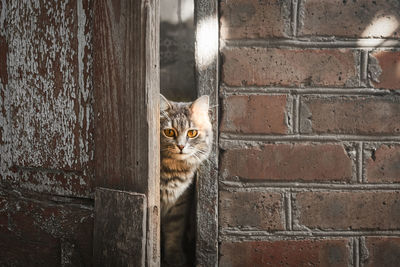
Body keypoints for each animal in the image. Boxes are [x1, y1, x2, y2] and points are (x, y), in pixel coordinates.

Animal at [160, 95, 212, 266]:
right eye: (169, 132)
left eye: (192, 133)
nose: (181, 146)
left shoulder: (180, 202)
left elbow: (174, 231)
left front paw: (174, 256)